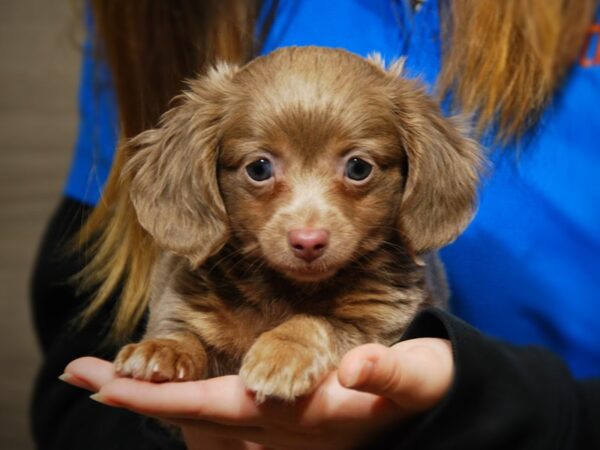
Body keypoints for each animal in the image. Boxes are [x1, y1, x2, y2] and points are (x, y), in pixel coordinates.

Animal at [113, 47, 482, 402]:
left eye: (358, 168)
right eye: (259, 168)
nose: (308, 241)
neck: (286, 291)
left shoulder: (380, 323)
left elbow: (315, 321)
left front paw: (283, 354)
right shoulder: (184, 305)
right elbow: (183, 331)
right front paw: (164, 348)